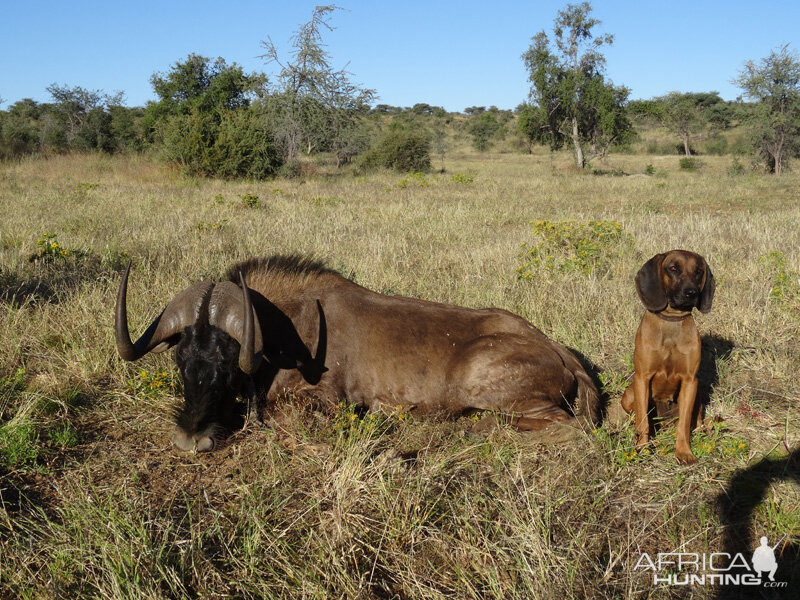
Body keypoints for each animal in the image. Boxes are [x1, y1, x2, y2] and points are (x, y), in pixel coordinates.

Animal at [620, 248, 716, 464]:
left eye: (698, 271)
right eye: (673, 268)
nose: (692, 293)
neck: (672, 320)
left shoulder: (690, 381)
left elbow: (684, 424)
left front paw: (684, 452)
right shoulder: (642, 378)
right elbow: (643, 421)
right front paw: (643, 447)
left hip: (698, 392)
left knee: (696, 418)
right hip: (628, 396)